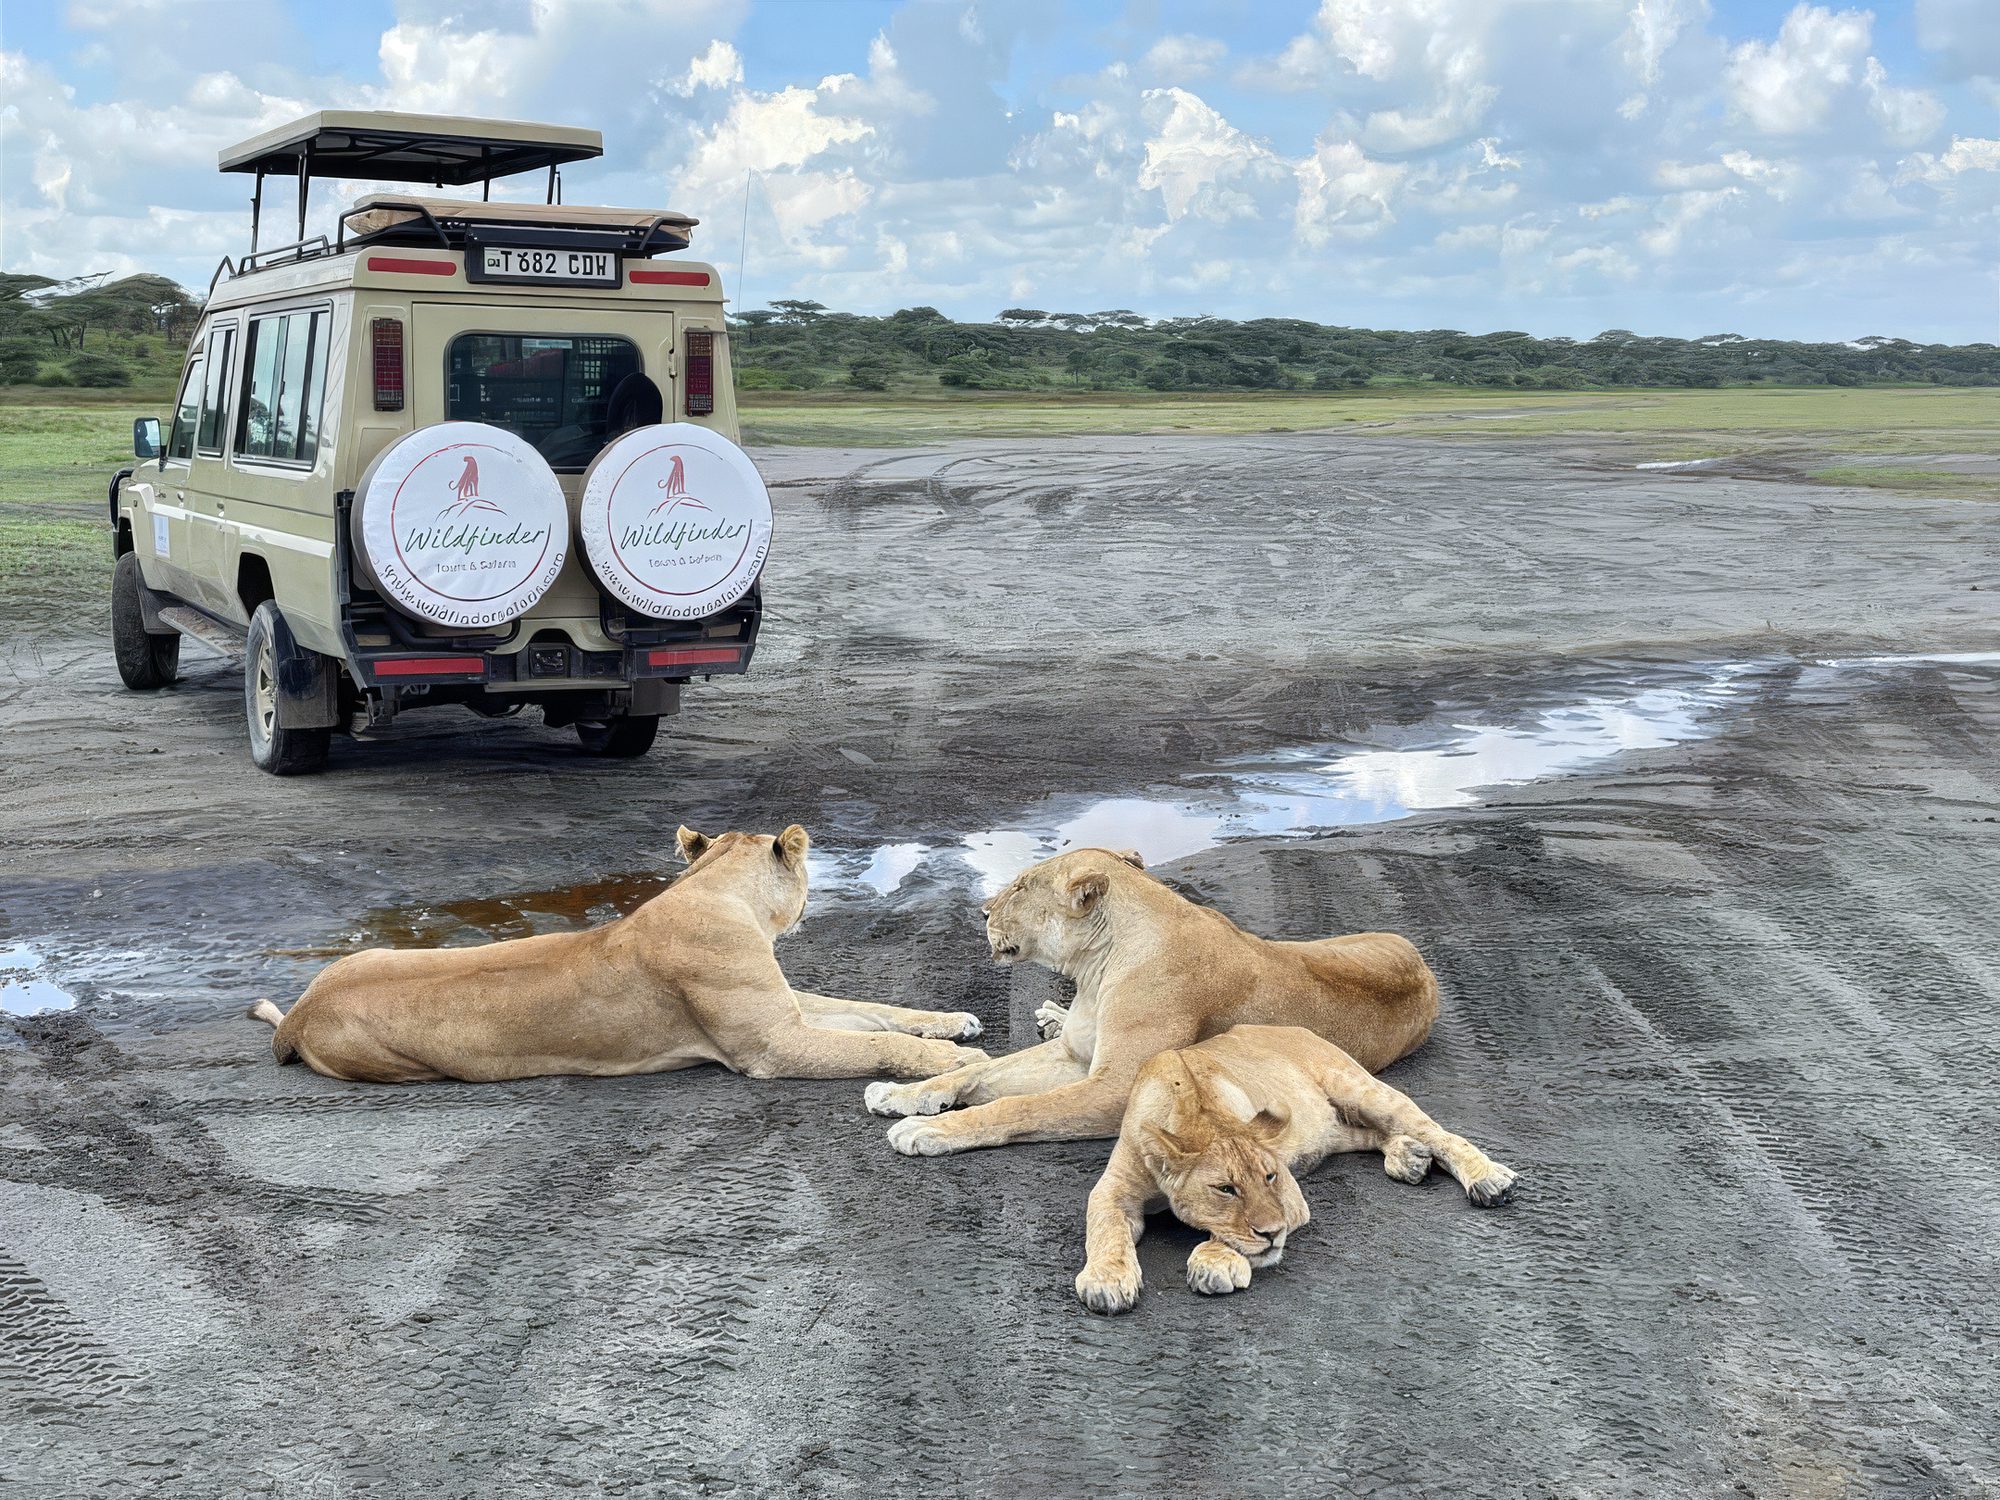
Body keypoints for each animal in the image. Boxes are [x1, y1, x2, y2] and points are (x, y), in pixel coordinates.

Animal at [246, 825, 987, 1085]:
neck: (715, 888)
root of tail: (302, 1012)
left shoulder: (788, 1011)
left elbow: (873, 1009)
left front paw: (953, 1024)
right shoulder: (772, 1046)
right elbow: (874, 1043)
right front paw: (954, 1061)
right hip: (398, 1066)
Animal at [864, 848, 1437, 1155]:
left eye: (1023, 886)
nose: (982, 911)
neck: (1096, 969)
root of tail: (1427, 971)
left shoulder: (1116, 1088)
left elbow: (1015, 1105)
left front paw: (929, 1128)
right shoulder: (1075, 1058)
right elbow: (978, 1071)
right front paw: (901, 1093)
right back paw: (1050, 1014)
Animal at [1074, 1024, 1516, 1313]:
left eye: (1269, 1177)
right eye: (1225, 1189)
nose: (1274, 1234)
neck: (1194, 1106)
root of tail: (1293, 1027)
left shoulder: (1290, 1197)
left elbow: (1236, 1237)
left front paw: (1215, 1262)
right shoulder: (1114, 1188)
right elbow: (1105, 1227)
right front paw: (1107, 1280)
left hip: (1359, 1088)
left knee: (1435, 1130)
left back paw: (1488, 1178)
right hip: (1328, 1125)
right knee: (1370, 1133)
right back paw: (1409, 1157)